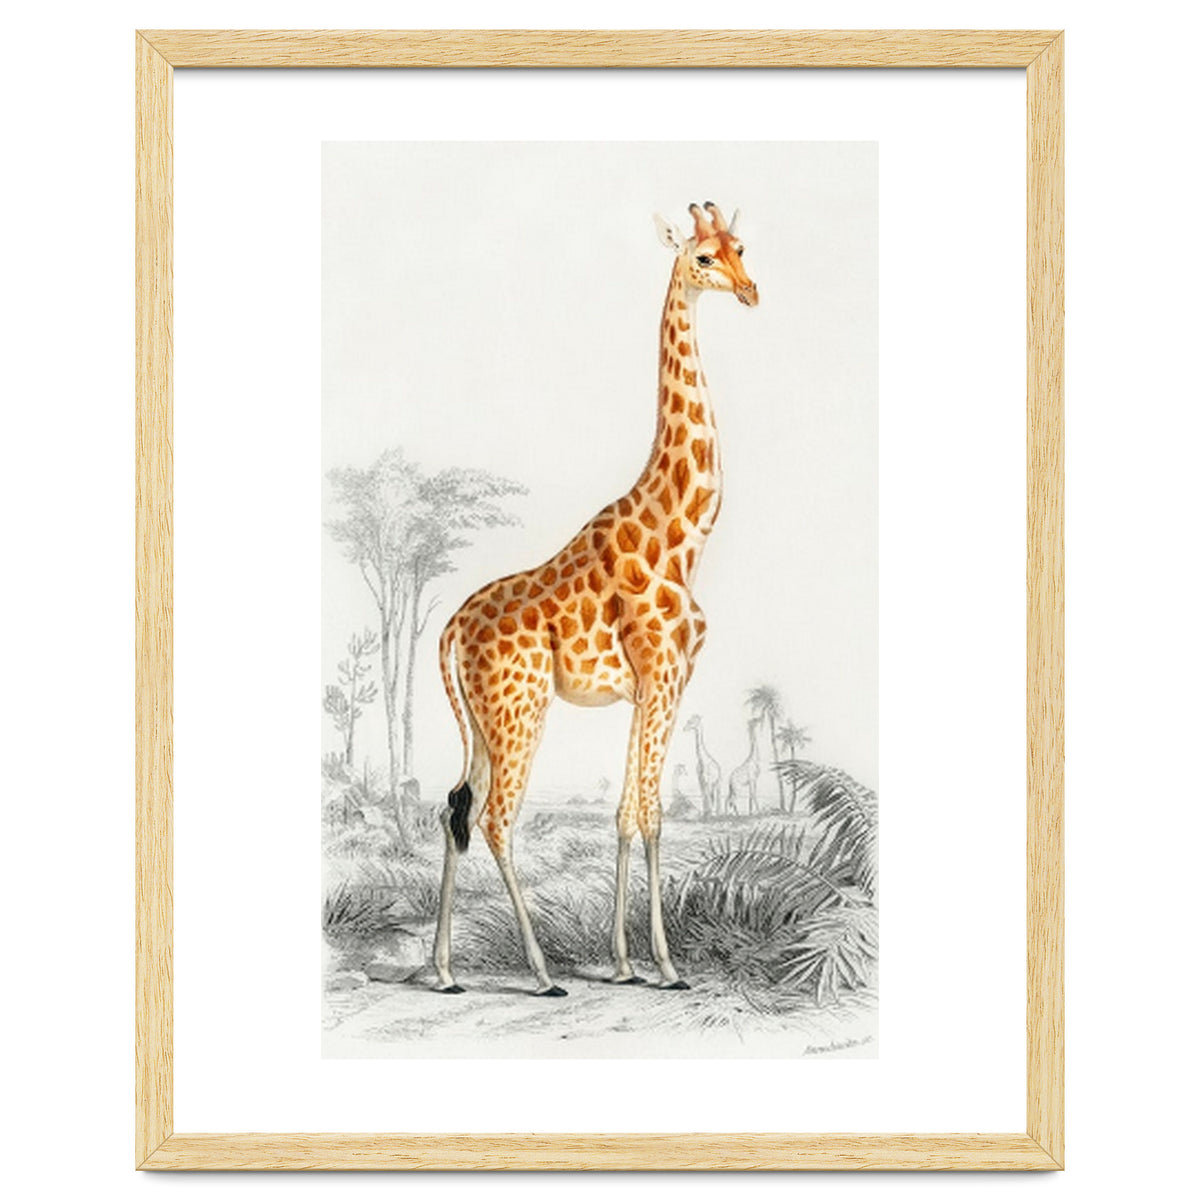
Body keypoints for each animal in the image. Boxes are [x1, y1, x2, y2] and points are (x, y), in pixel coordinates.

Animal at [433, 201, 758, 996]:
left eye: (741, 247)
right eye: (702, 258)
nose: (750, 291)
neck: (683, 534)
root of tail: (450, 629)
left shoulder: (651, 688)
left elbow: (626, 812)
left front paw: (625, 962)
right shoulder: (664, 677)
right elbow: (653, 814)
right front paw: (666, 966)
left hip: (484, 721)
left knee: (455, 807)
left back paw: (444, 971)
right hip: (520, 710)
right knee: (495, 819)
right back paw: (543, 972)